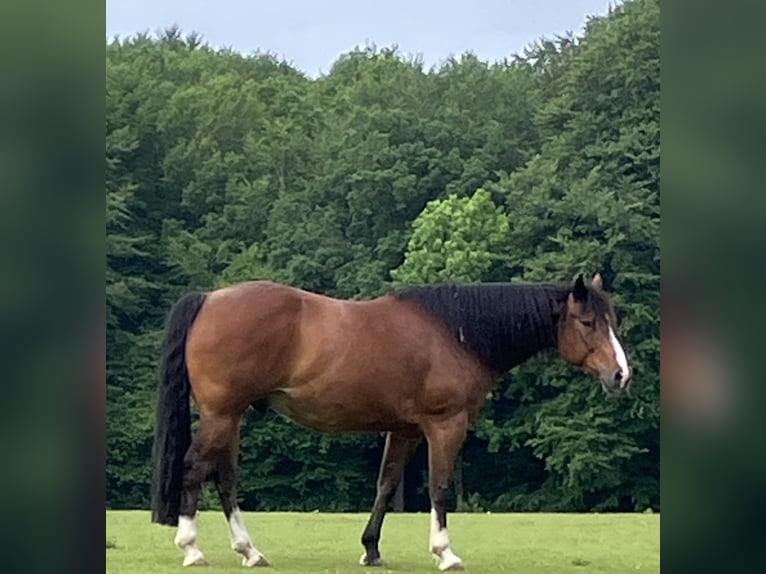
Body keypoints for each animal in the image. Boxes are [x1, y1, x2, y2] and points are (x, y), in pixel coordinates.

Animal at [150, 273, 631, 570]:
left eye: (612, 320)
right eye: (588, 321)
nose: (621, 375)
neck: (456, 333)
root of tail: (210, 299)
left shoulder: (403, 430)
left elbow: (386, 485)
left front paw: (371, 550)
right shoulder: (445, 425)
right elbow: (439, 488)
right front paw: (445, 553)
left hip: (230, 419)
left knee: (225, 479)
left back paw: (249, 551)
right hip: (221, 415)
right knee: (194, 469)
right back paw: (192, 549)